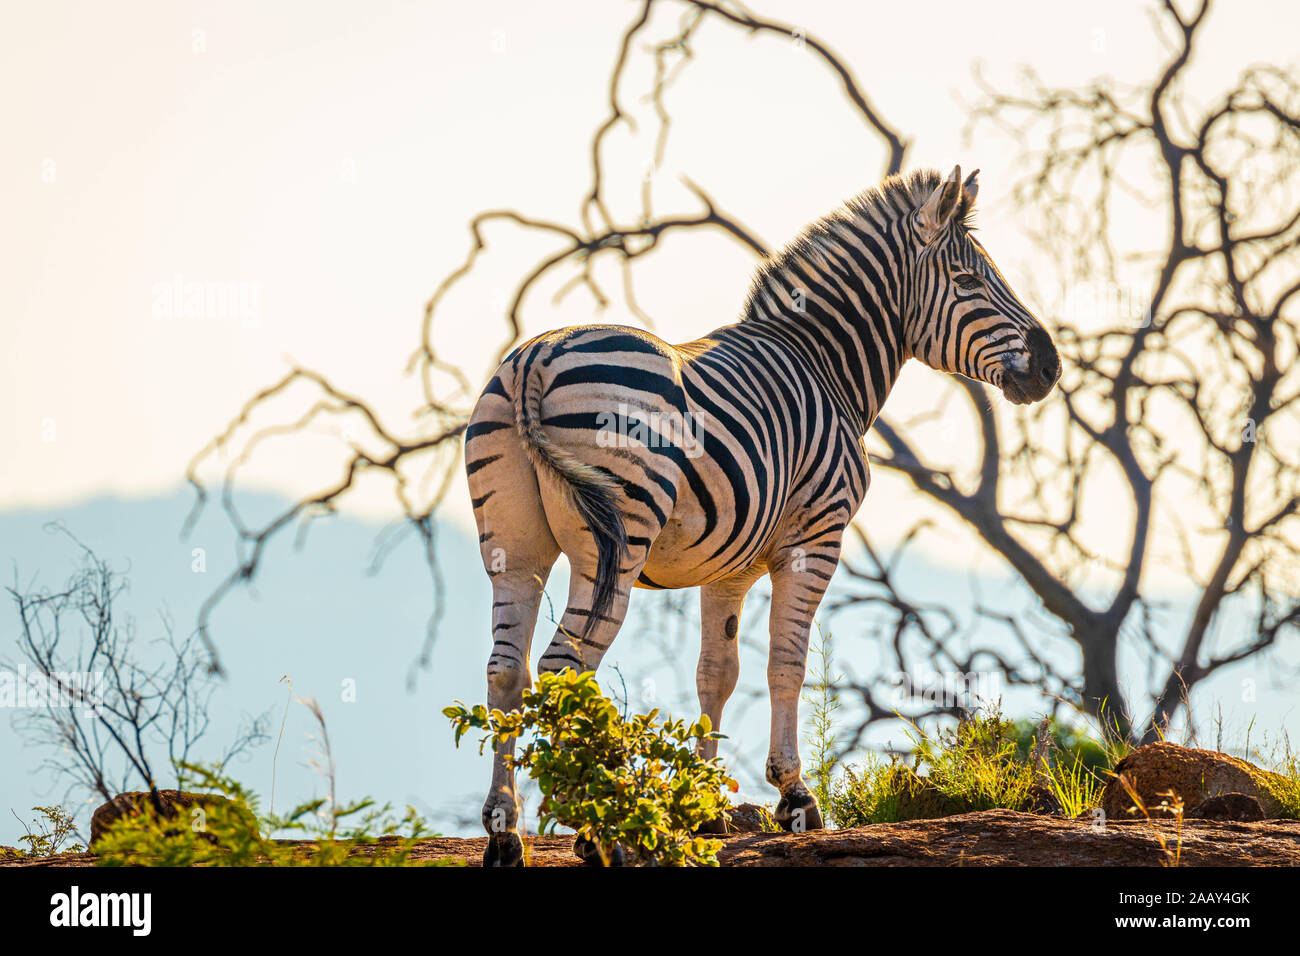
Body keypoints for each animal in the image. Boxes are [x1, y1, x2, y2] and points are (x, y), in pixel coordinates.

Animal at [463, 166, 1060, 865]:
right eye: (968, 282)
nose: (1049, 366)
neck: (826, 364)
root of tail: (538, 355)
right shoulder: (815, 539)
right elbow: (786, 663)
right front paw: (795, 798)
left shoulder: (730, 566)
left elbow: (716, 673)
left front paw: (701, 808)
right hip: (616, 540)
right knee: (563, 668)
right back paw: (599, 827)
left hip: (514, 546)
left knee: (507, 669)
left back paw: (505, 831)